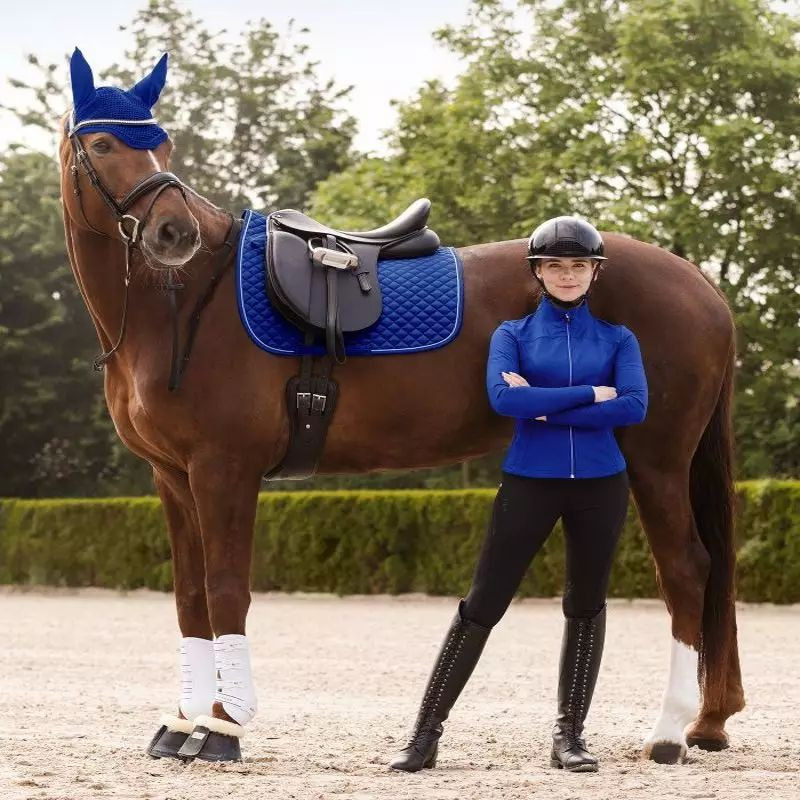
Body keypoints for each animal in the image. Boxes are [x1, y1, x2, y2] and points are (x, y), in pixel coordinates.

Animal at [58, 51, 743, 764]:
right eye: (103, 144)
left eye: (161, 144)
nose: (175, 232)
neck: (187, 299)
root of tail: (701, 284)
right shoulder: (173, 476)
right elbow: (191, 597)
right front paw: (183, 722)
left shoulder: (225, 469)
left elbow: (225, 591)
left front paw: (222, 727)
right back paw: (706, 722)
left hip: (657, 460)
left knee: (687, 571)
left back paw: (669, 731)